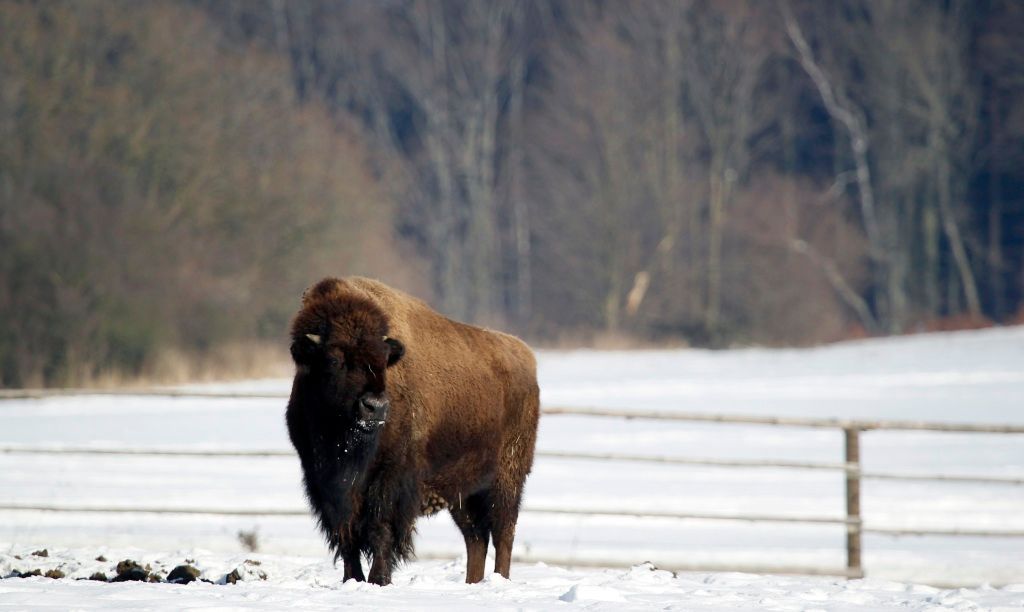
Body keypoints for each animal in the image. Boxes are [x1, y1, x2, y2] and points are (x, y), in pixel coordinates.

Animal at [284, 276, 540, 585]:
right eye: (334, 360)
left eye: (383, 360)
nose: (375, 407)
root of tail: (525, 356)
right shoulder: (324, 482)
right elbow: (346, 535)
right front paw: (352, 579)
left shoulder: (391, 478)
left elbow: (380, 529)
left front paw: (378, 580)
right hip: (462, 491)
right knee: (476, 537)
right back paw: (472, 582)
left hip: (507, 477)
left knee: (503, 531)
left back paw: (499, 580)